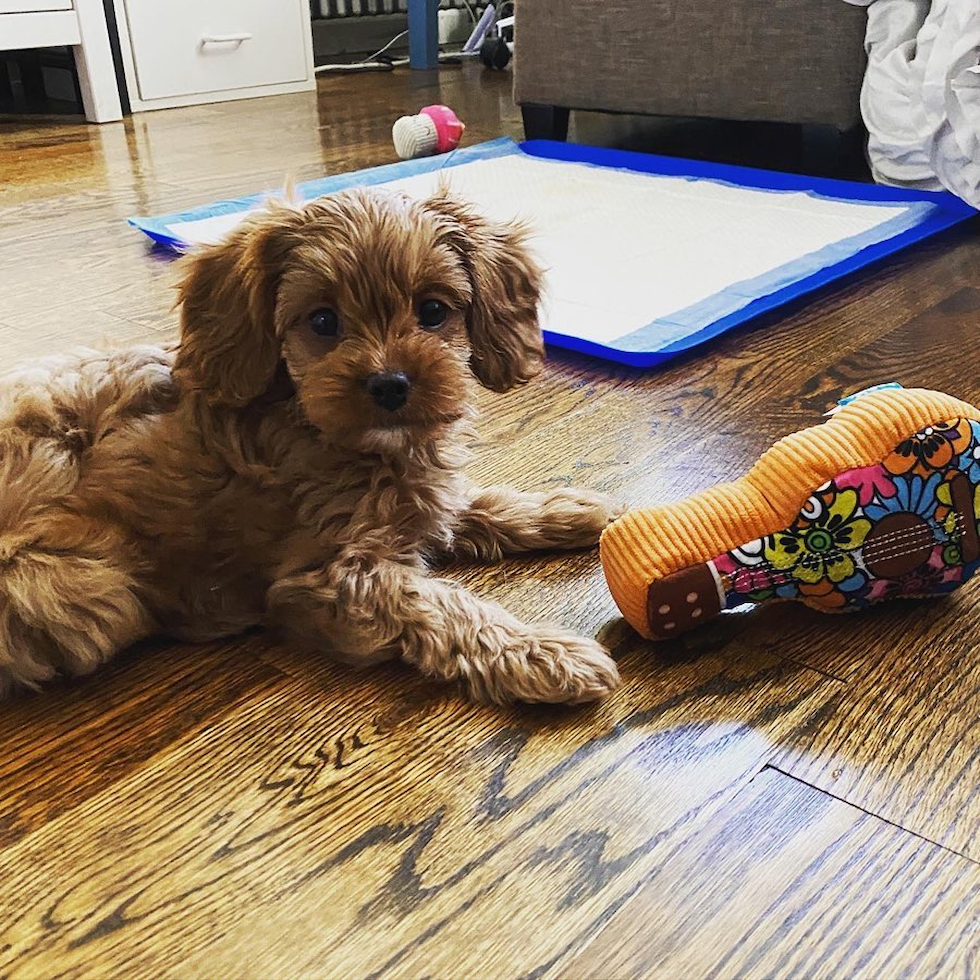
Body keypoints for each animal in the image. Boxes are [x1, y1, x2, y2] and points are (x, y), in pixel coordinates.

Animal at [0, 186, 620, 704]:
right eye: (323, 321)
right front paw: (545, 655)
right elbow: (446, 606)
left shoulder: (419, 499)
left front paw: (568, 510)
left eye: (433, 311)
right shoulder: (335, 579)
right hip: (86, 587)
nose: (390, 384)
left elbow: (469, 502)